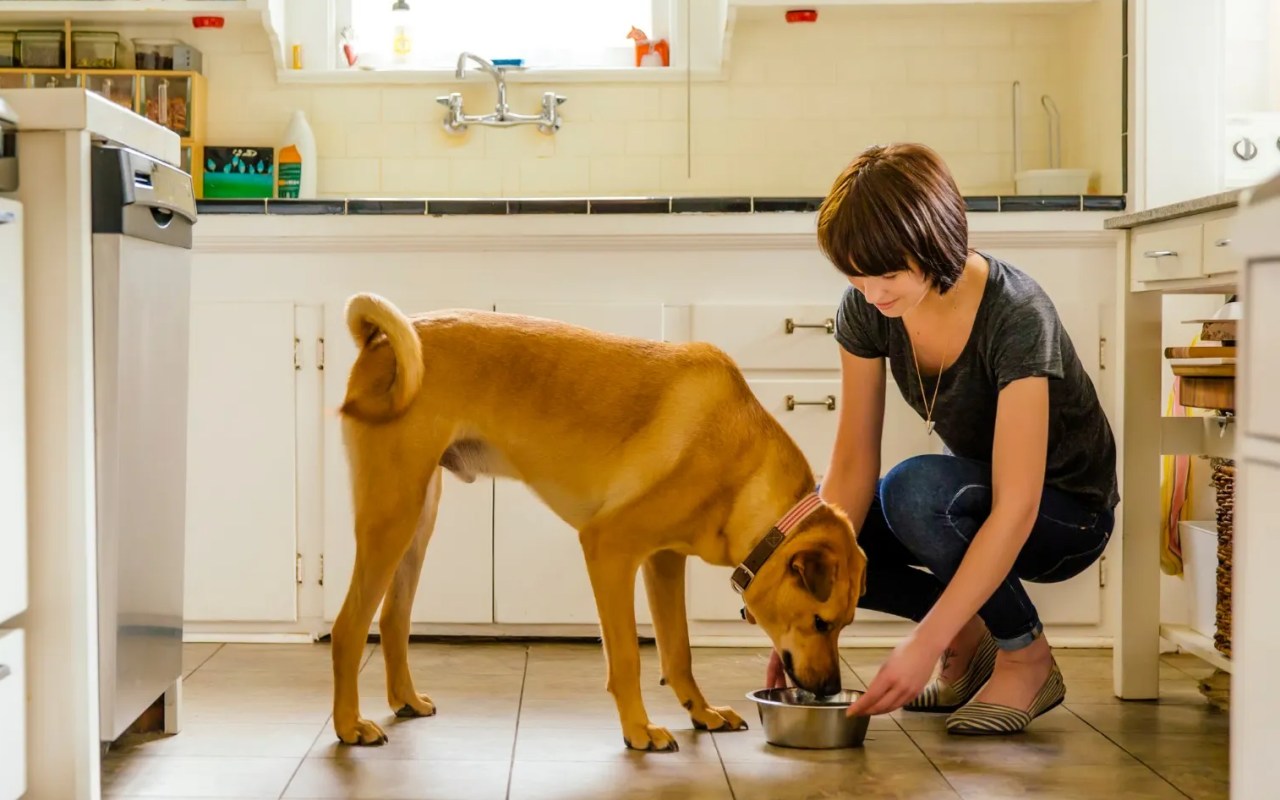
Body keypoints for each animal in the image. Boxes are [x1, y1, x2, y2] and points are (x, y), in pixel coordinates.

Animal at [330, 291, 870, 747]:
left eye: (845, 624)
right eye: (820, 622)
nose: (829, 691)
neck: (741, 468)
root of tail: (382, 340)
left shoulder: (664, 562)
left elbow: (678, 650)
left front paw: (702, 713)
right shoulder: (609, 549)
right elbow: (628, 655)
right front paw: (639, 731)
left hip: (418, 519)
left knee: (393, 617)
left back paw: (404, 700)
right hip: (391, 515)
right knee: (349, 627)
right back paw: (349, 725)